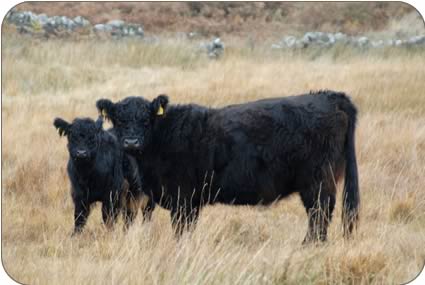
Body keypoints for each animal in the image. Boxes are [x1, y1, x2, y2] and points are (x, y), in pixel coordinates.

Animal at [95, 90, 358, 242]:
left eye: (146, 119)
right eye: (119, 120)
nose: (131, 142)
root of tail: (329, 96)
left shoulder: (183, 198)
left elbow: (181, 229)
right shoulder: (189, 200)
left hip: (318, 181)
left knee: (320, 213)